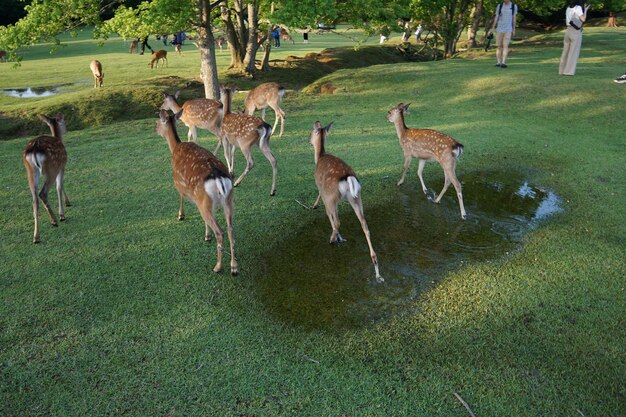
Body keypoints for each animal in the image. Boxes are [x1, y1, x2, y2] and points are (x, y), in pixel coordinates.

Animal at [22, 114, 70, 244]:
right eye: (64, 121)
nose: (66, 129)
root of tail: (34, 148)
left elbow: (60, 185)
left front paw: (67, 203)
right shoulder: (62, 165)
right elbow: (59, 186)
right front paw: (62, 212)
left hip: (30, 171)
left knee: (34, 199)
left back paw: (36, 237)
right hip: (51, 168)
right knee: (43, 193)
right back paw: (54, 220)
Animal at [154, 109, 236, 274]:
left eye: (158, 121)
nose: (155, 129)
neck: (175, 148)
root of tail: (219, 177)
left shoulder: (177, 182)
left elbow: (180, 196)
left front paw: (181, 215)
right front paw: (206, 235)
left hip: (203, 200)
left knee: (220, 231)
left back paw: (218, 266)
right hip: (227, 199)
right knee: (231, 229)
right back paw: (234, 267)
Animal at [308, 121, 380, 282]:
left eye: (311, 132)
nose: (308, 140)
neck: (319, 157)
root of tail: (348, 178)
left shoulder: (322, 190)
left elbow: (328, 212)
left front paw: (314, 205)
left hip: (332, 196)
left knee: (337, 220)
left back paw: (332, 239)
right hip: (356, 197)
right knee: (365, 224)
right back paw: (377, 268)